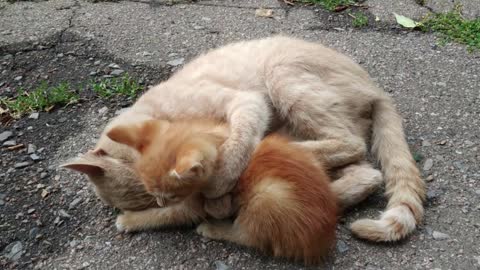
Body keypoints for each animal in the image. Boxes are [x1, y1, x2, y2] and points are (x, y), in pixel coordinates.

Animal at [107, 119, 338, 264]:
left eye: (172, 195)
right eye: (152, 192)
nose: (160, 201)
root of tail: (320, 240)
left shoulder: (194, 206)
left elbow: (165, 216)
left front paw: (130, 219)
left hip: (267, 197)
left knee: (249, 236)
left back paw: (214, 228)